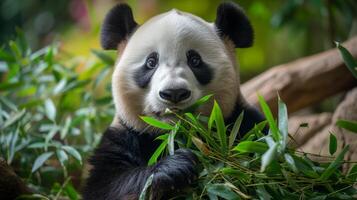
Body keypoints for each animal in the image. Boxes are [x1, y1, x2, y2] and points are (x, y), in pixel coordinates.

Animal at [83, 1, 264, 200]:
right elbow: (108, 185)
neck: (175, 135)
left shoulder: (244, 124)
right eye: (151, 62)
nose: (174, 93)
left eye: (195, 60)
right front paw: (175, 167)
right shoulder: (124, 135)